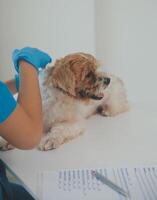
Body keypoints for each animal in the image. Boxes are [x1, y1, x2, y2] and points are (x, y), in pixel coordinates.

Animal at [0, 52, 129, 151]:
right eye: (88, 74)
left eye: (96, 69)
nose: (107, 80)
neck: (56, 97)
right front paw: (6, 141)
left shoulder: (73, 123)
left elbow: (59, 129)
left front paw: (50, 139)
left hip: (114, 102)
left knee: (121, 106)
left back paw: (105, 110)